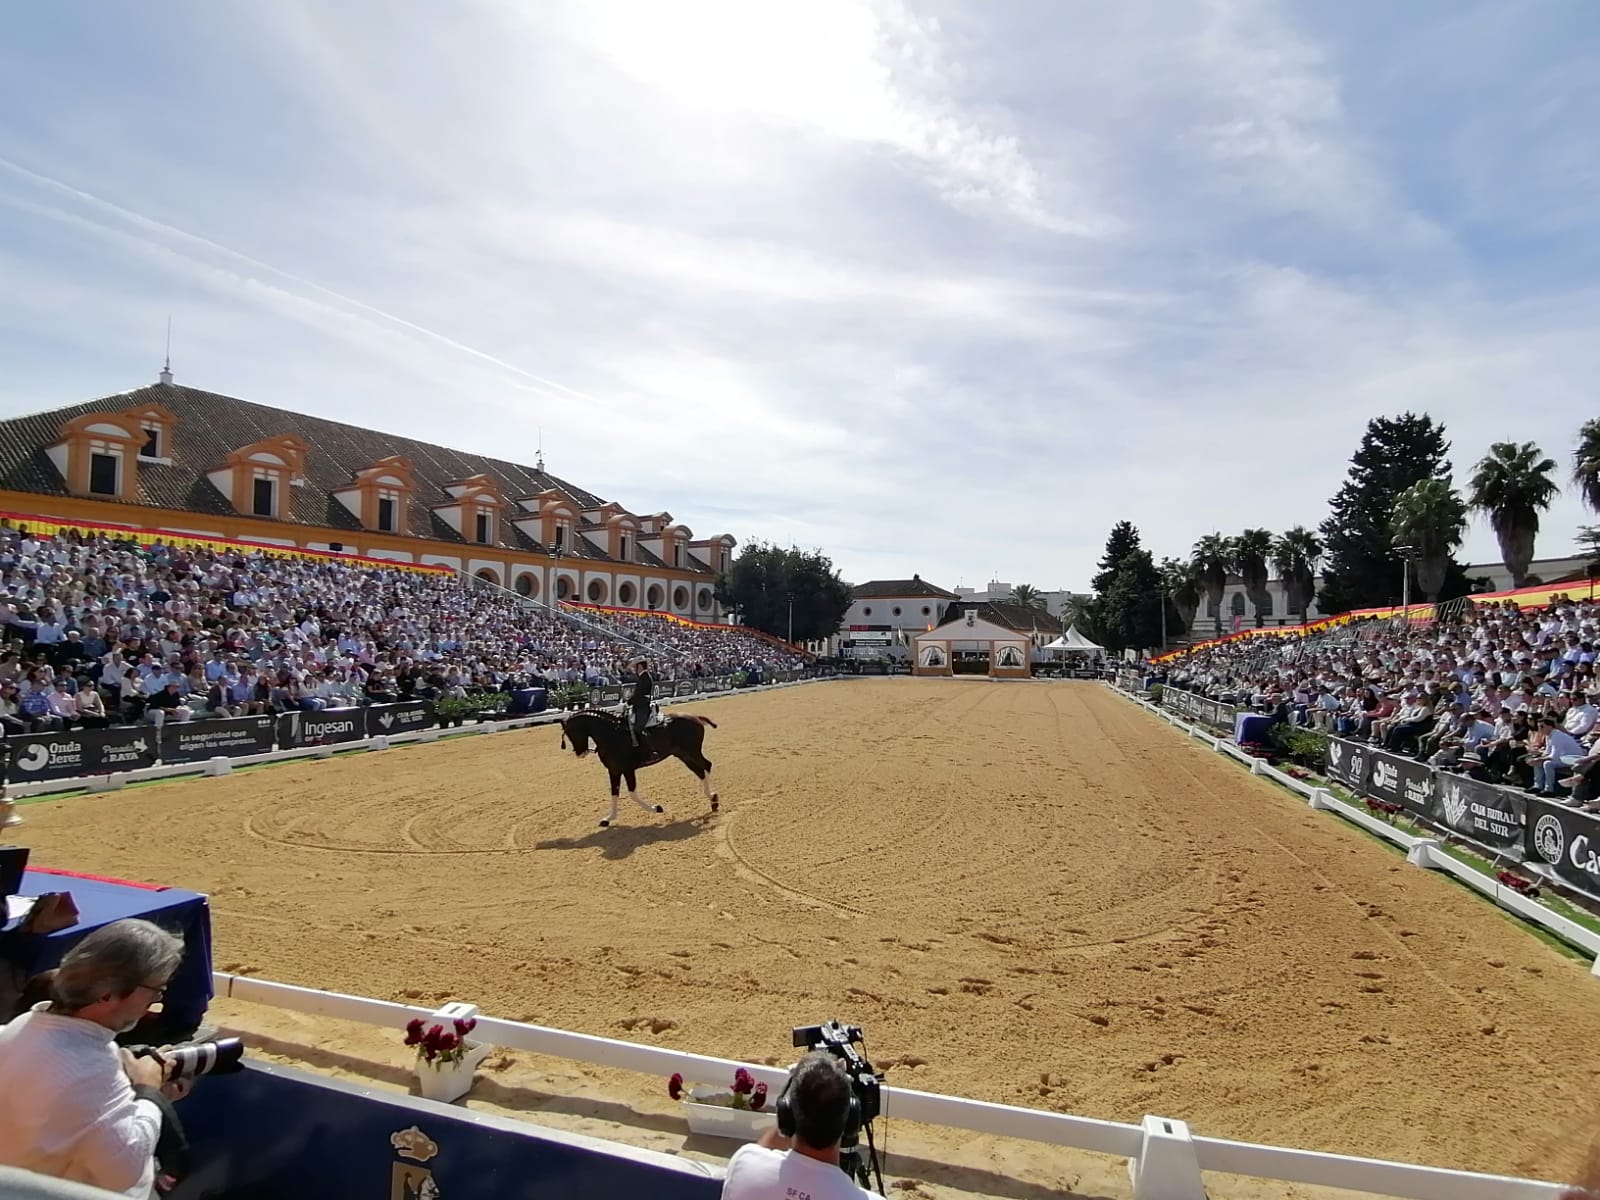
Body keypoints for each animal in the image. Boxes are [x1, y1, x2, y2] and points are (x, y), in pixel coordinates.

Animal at [556, 713, 720, 825]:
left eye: (572, 732)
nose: (580, 753)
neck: (611, 735)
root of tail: (695, 718)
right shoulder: (614, 771)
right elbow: (614, 793)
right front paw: (609, 819)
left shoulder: (627, 770)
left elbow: (632, 794)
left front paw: (657, 808)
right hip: (683, 755)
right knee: (700, 771)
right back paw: (712, 800)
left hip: (692, 752)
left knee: (706, 766)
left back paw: (713, 800)